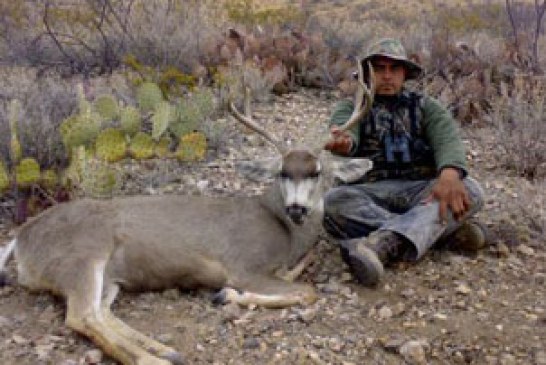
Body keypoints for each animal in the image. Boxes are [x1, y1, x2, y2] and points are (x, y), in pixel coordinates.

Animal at [0, 61, 372, 362]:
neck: (281, 228)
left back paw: (165, 350)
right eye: (282, 172)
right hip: (82, 256)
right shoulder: (244, 265)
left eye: (317, 172)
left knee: (102, 314)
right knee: (82, 316)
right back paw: (153, 359)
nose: (296, 208)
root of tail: (19, 239)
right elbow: (307, 291)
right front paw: (227, 295)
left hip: (108, 277)